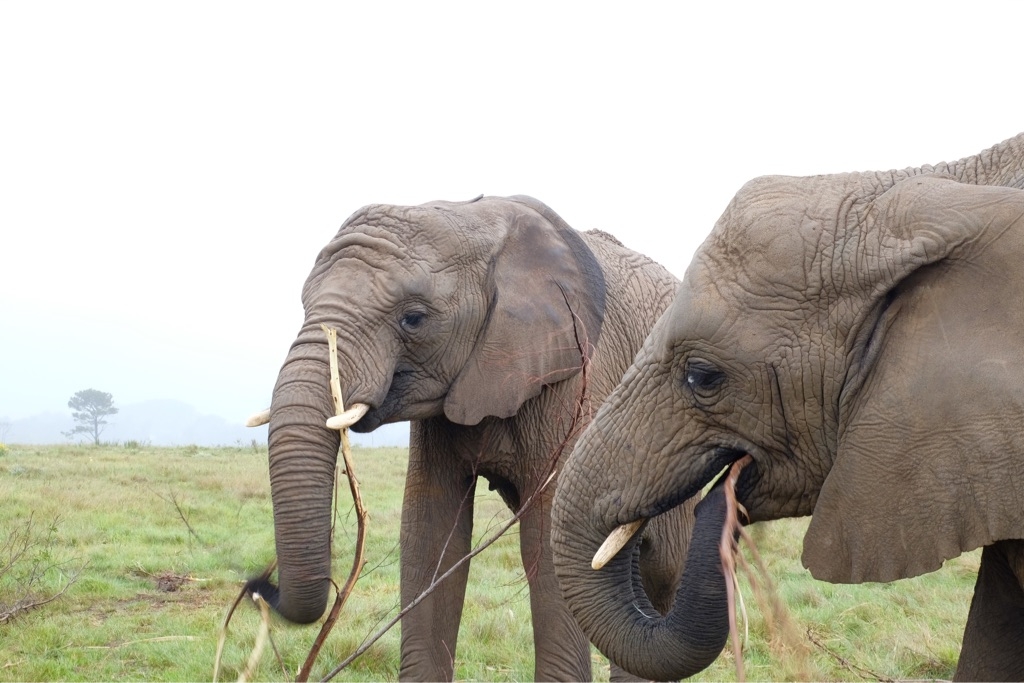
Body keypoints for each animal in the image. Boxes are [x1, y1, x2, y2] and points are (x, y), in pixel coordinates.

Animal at [248, 194, 697, 681]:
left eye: (413, 319)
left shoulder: (576, 375)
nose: (260, 585)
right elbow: (428, 533)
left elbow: (548, 541)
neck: (476, 220)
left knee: (663, 574)